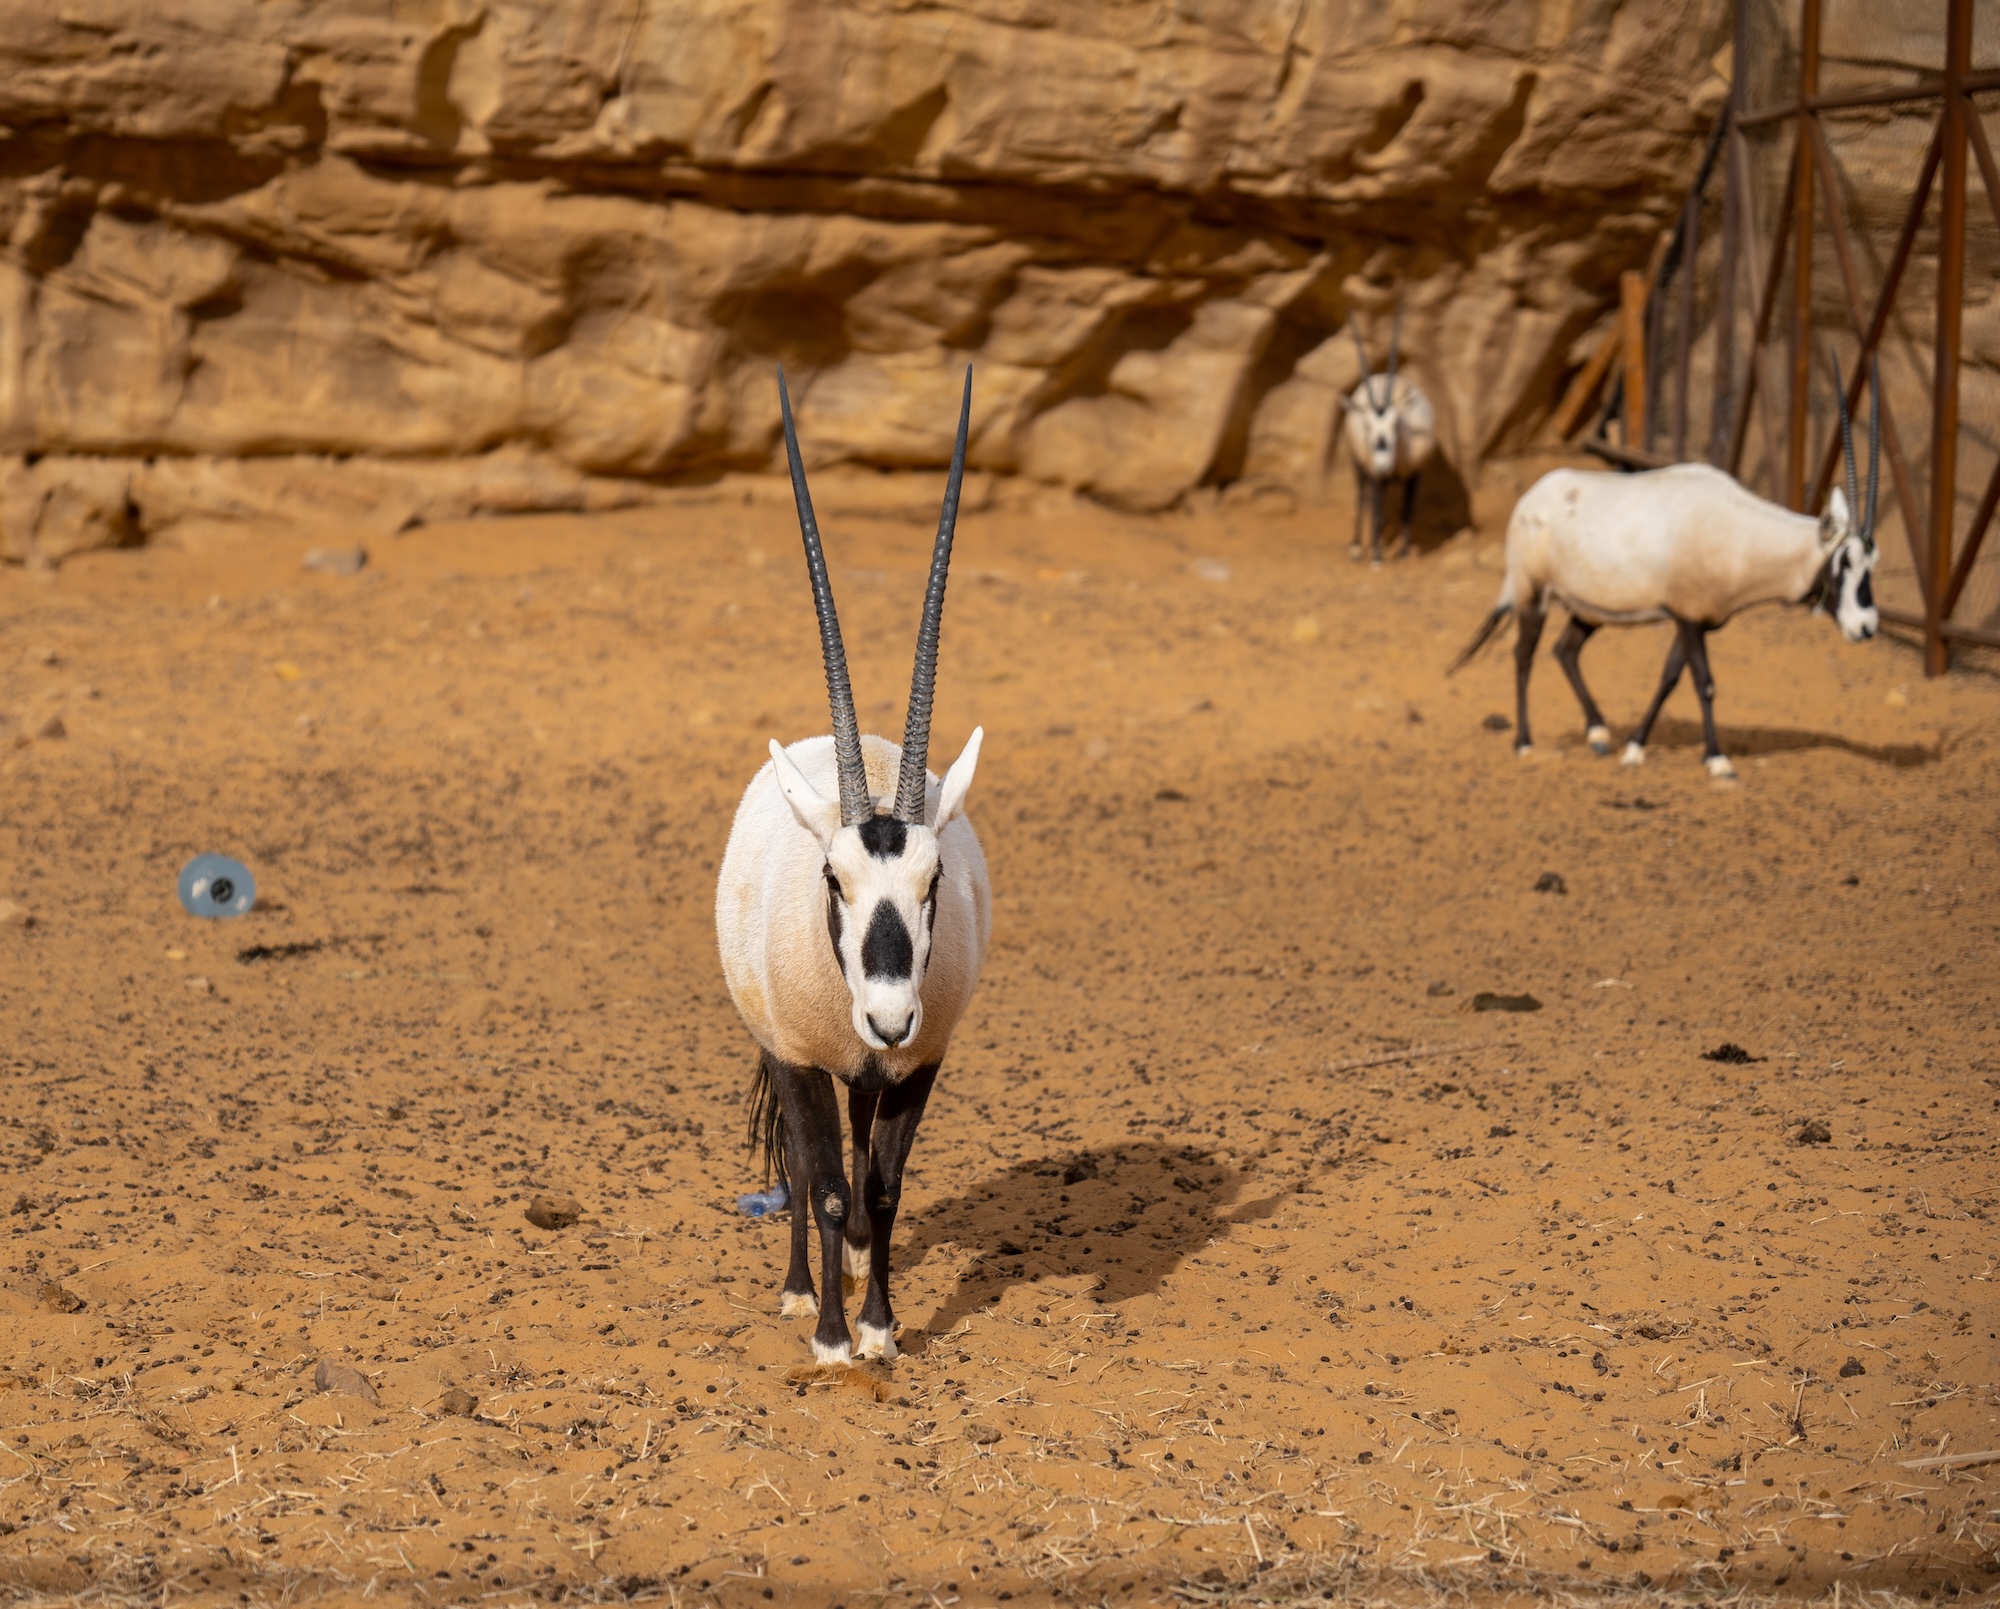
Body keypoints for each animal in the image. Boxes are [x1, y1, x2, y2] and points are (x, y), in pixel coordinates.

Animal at [715, 368, 992, 1365]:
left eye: (933, 882)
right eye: (833, 880)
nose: (886, 1012)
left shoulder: (919, 1060)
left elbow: (881, 1185)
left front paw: (879, 1324)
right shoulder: (799, 1058)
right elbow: (827, 1182)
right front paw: (833, 1334)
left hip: (871, 1067)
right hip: (794, 1051)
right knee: (805, 1166)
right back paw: (803, 1285)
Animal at [1342, 303, 1437, 564]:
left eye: (1397, 425)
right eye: (1367, 426)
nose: (1383, 465)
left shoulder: (1415, 473)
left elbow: (1407, 511)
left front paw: (1404, 553)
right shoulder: (1376, 477)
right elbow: (1377, 512)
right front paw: (1376, 557)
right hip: (1359, 465)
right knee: (1362, 500)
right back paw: (1357, 547)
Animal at [1451, 357, 1881, 779]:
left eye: (1871, 562)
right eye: (1844, 562)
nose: (1866, 627)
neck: (1737, 531)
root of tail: (1530, 499)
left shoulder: (1692, 619)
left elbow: (1669, 678)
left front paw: (1634, 748)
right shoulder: (1689, 619)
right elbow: (1704, 682)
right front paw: (1718, 760)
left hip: (1588, 610)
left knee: (1565, 650)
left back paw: (1598, 734)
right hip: (1532, 593)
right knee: (1523, 655)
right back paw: (1524, 743)